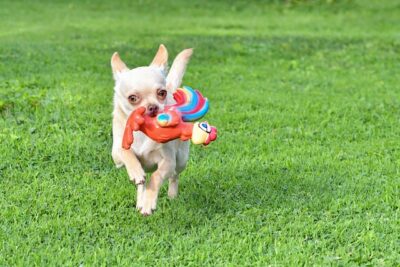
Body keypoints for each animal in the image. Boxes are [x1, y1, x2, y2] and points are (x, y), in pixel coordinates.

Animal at [111, 44, 194, 216]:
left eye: (162, 93)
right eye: (132, 98)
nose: (153, 107)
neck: (143, 132)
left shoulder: (168, 162)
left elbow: (156, 177)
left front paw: (149, 203)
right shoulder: (116, 155)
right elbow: (125, 151)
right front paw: (136, 173)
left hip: (181, 160)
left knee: (174, 176)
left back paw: (171, 195)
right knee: (141, 184)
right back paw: (140, 198)